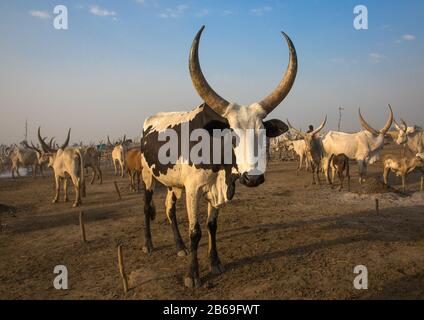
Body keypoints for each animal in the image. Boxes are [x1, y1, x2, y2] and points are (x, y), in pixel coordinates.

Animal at [141, 26, 296, 288]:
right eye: (231, 134)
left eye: (263, 133)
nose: (253, 178)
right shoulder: (193, 190)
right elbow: (196, 231)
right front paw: (192, 275)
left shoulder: (214, 189)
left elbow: (212, 226)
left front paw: (215, 263)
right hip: (147, 176)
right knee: (146, 206)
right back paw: (149, 245)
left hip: (173, 183)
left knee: (169, 208)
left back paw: (179, 246)